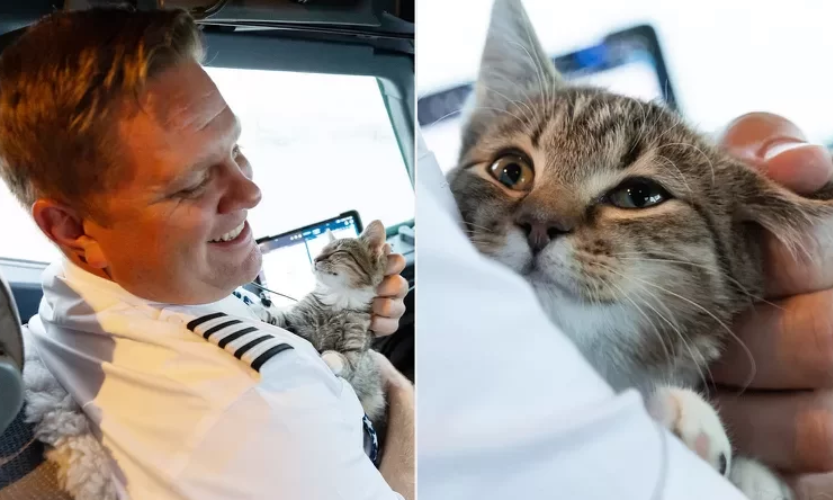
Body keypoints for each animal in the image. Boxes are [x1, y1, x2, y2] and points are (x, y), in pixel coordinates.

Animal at [258, 221, 388, 424]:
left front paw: (328, 357)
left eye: (338, 251)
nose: (315, 259)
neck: (338, 300)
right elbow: (279, 317)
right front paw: (260, 313)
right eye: (320, 249)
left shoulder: (354, 356)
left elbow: (342, 360)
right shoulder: (295, 321)